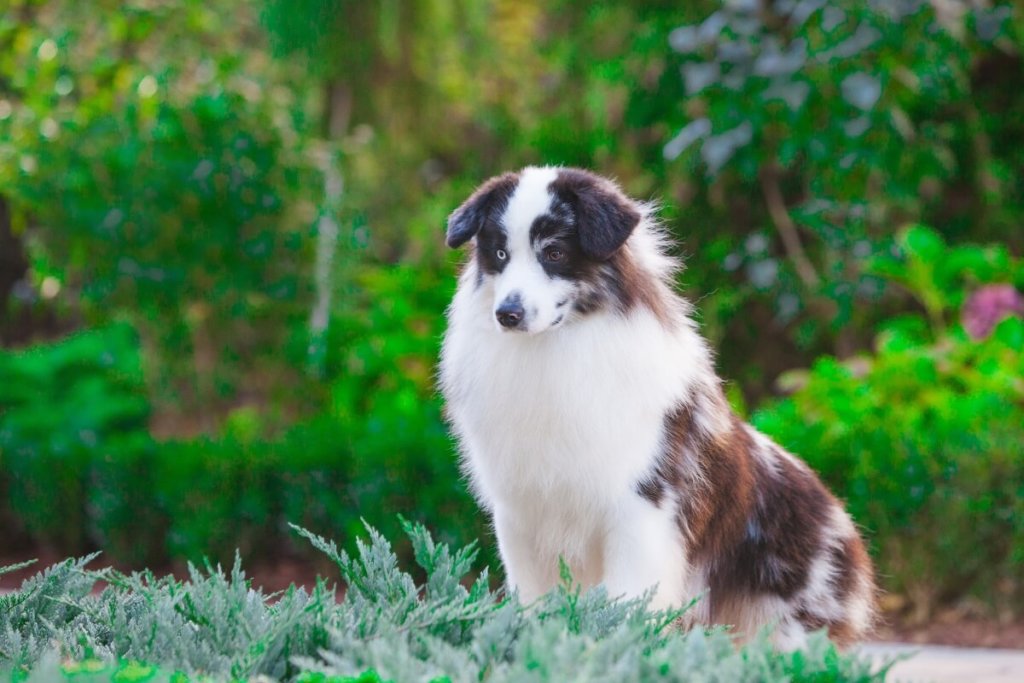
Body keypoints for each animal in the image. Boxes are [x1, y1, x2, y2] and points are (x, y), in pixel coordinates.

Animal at [436, 165, 876, 647]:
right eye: (499, 254)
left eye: (554, 253)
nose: (507, 314)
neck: (554, 351)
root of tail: (850, 537)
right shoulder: (521, 512)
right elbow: (534, 600)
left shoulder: (641, 509)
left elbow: (627, 602)